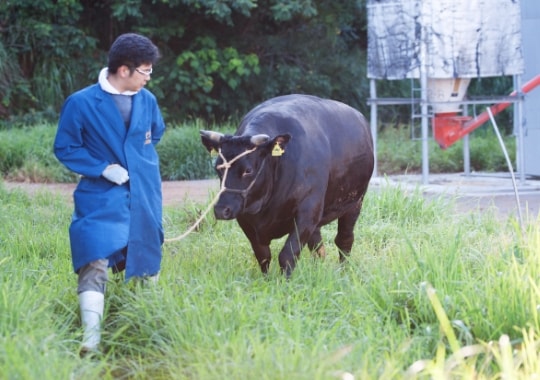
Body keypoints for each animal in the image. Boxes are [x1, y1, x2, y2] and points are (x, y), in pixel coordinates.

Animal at [200, 93, 374, 278]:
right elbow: (263, 255)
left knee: (344, 239)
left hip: (355, 202)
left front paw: (285, 280)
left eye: (248, 170)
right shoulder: (245, 217)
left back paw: (343, 271)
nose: (221, 209)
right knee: (317, 246)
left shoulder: (307, 211)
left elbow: (287, 254)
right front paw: (266, 280)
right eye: (218, 167)